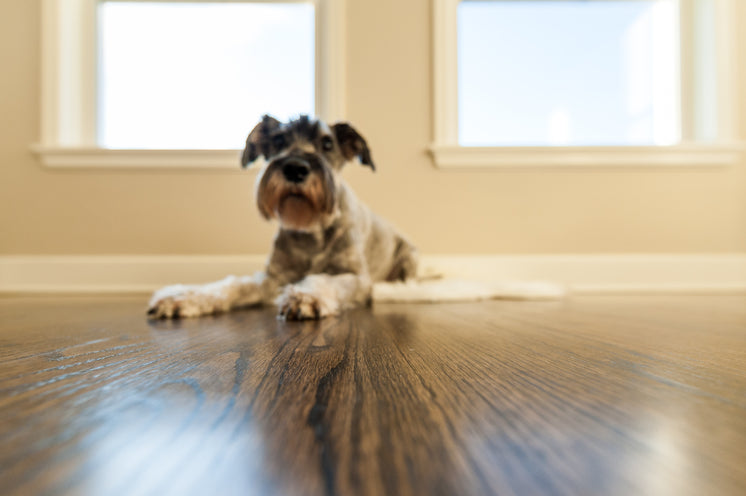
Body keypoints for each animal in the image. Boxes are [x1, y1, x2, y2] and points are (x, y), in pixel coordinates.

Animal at [145, 114, 412, 320]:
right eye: (279, 140)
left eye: (327, 144)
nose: (295, 168)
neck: (310, 230)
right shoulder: (272, 278)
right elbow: (233, 285)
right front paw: (181, 297)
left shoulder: (356, 278)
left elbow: (325, 279)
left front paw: (305, 297)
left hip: (410, 257)